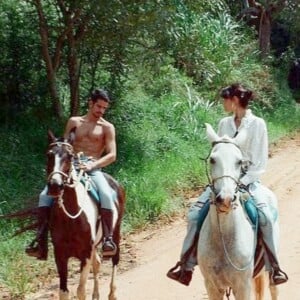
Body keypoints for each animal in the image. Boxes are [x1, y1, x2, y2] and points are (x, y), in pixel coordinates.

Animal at [46, 129, 125, 300]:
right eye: (49, 154)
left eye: (69, 156)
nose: (55, 185)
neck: (70, 217)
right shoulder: (60, 254)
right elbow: (64, 292)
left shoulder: (85, 254)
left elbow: (80, 291)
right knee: (98, 263)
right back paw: (96, 294)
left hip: (116, 231)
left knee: (115, 259)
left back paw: (112, 293)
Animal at [197, 123, 278, 300]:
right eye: (212, 160)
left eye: (239, 161)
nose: (226, 199)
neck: (224, 240)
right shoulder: (212, 287)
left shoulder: (242, 287)